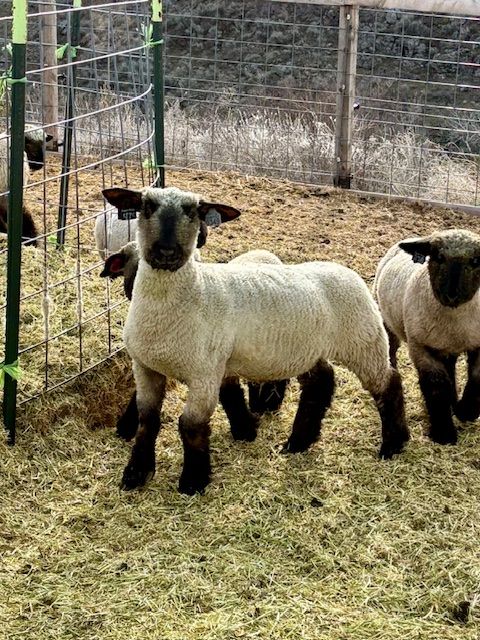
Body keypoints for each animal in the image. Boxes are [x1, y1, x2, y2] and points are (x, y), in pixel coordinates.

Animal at [374, 228, 480, 445]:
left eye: (476, 261)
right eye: (438, 257)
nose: (451, 295)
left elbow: (476, 377)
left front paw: (466, 411)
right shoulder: (421, 347)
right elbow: (436, 386)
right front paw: (444, 433)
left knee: (450, 370)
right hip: (387, 321)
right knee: (391, 352)